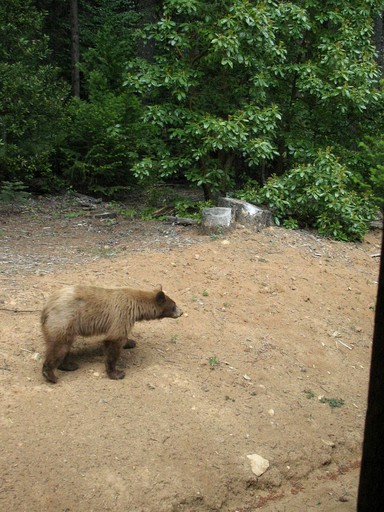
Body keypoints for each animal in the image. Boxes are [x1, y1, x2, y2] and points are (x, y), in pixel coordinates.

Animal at [40, 284, 183, 384]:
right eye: (174, 305)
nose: (181, 312)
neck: (137, 306)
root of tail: (46, 306)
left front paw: (130, 342)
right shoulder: (123, 313)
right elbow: (114, 340)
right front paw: (117, 373)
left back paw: (69, 365)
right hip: (64, 319)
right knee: (59, 346)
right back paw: (51, 374)